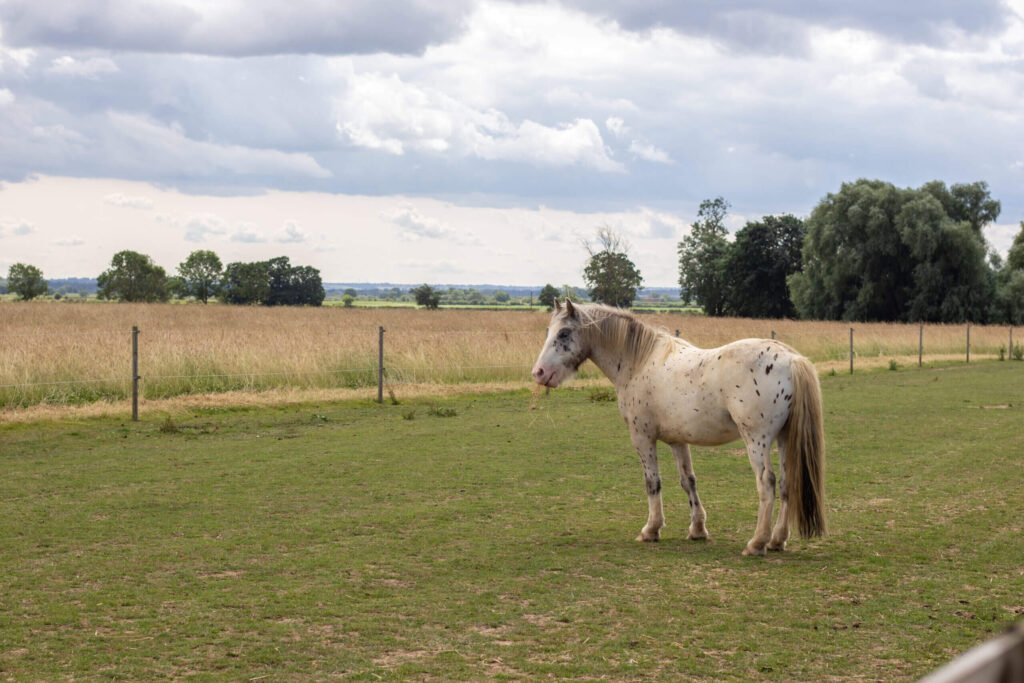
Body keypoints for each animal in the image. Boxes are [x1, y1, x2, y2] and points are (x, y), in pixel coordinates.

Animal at [531, 300, 826, 556]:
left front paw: (651, 529)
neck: (638, 362)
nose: (539, 373)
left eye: (564, 333)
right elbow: (688, 481)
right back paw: (777, 540)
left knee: (767, 483)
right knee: (786, 484)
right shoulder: (678, 441)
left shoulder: (642, 437)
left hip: (756, 440)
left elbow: (652, 482)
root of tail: (791, 359)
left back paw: (757, 543)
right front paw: (697, 529)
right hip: (784, 439)